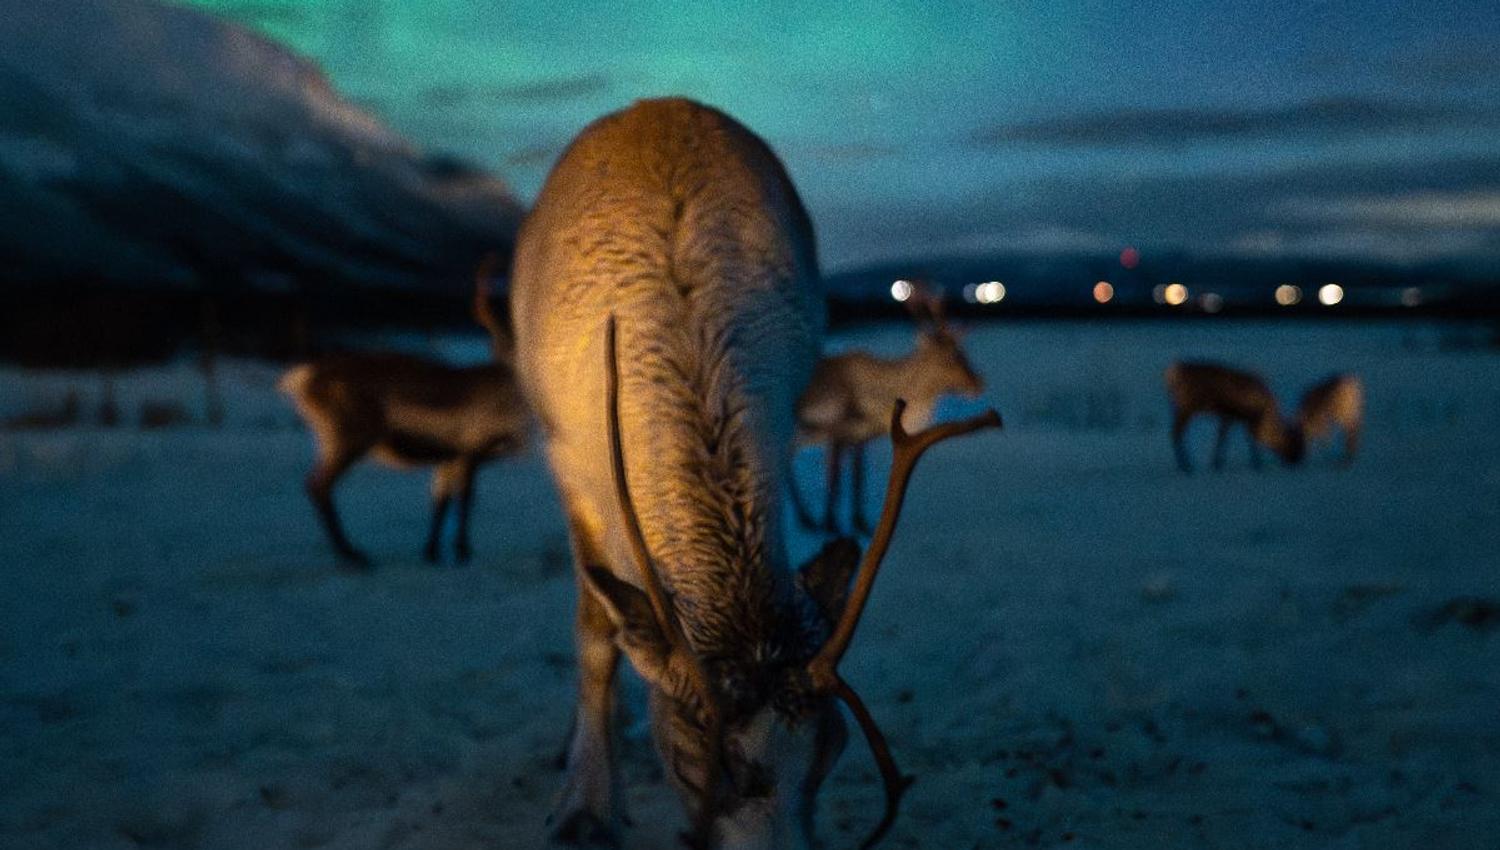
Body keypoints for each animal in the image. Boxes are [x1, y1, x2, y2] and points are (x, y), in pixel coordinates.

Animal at [279, 257, 529, 568]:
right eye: (501, 340)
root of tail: (303, 378)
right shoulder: (471, 450)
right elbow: (466, 499)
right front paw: (462, 552)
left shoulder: (448, 456)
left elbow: (440, 500)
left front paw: (431, 553)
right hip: (349, 439)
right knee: (318, 485)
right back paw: (353, 556)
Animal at [792, 284, 984, 533]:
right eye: (951, 358)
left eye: (964, 354)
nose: (978, 383)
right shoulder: (837, 429)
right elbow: (834, 478)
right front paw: (829, 523)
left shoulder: (858, 437)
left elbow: (857, 478)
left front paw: (860, 522)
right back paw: (805, 517)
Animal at [1164, 360, 1304, 473]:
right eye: (1293, 444)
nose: (1296, 462)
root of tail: (1171, 374)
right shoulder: (1237, 416)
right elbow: (1240, 440)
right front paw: (1257, 464)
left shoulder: (1235, 418)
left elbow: (1227, 438)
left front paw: (1216, 463)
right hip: (1187, 407)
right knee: (1176, 433)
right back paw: (1186, 466)